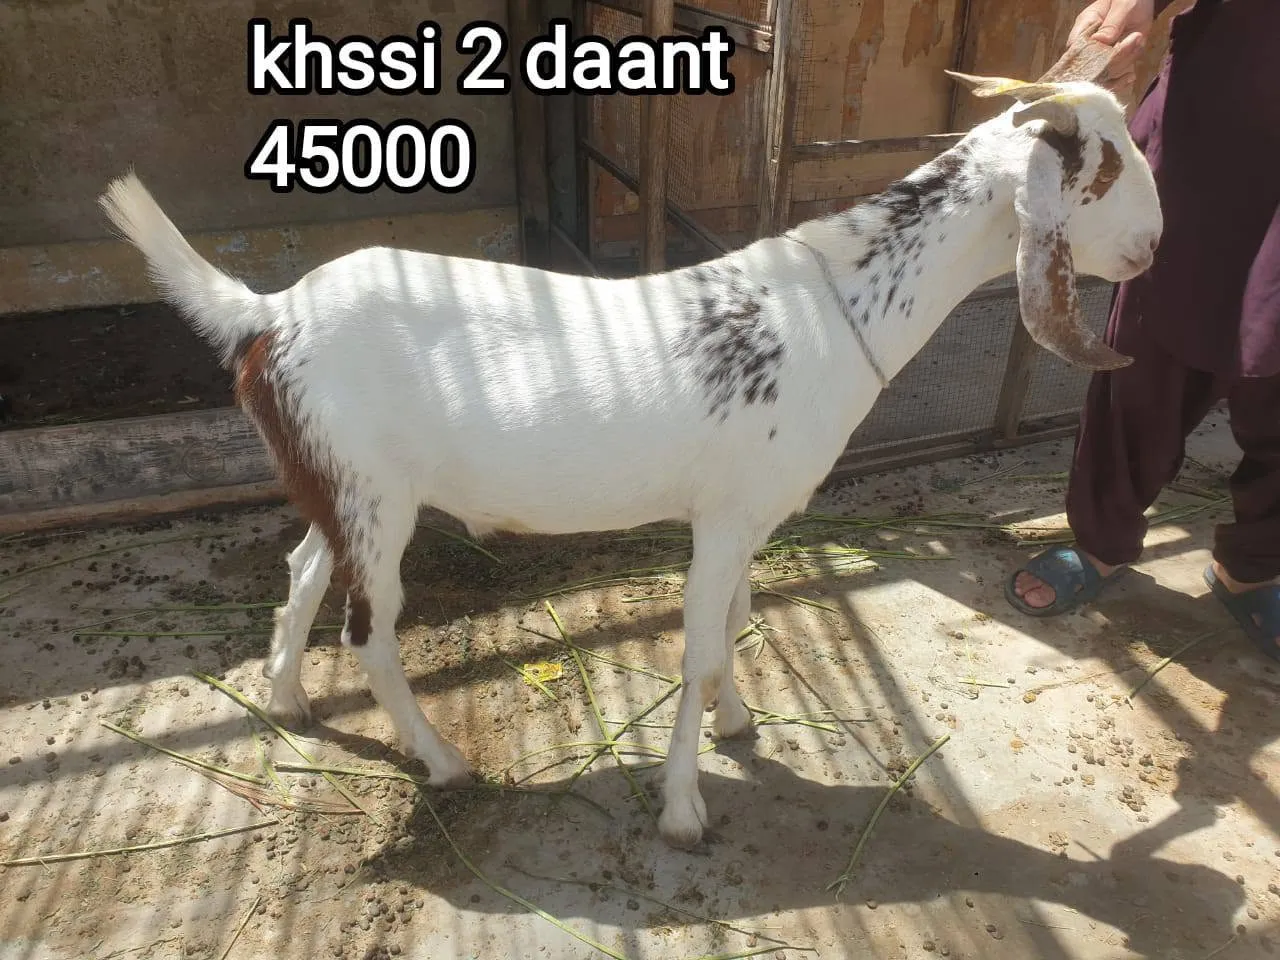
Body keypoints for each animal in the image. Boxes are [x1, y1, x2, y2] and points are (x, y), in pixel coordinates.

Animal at [98, 71, 1162, 849]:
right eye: (1105, 170)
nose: (1153, 246)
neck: (839, 308)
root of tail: (269, 312)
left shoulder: (752, 516)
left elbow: (735, 622)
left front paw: (738, 725)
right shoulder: (725, 518)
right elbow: (697, 647)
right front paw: (686, 807)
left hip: (345, 481)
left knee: (305, 567)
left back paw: (284, 698)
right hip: (373, 495)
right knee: (370, 631)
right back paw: (441, 762)